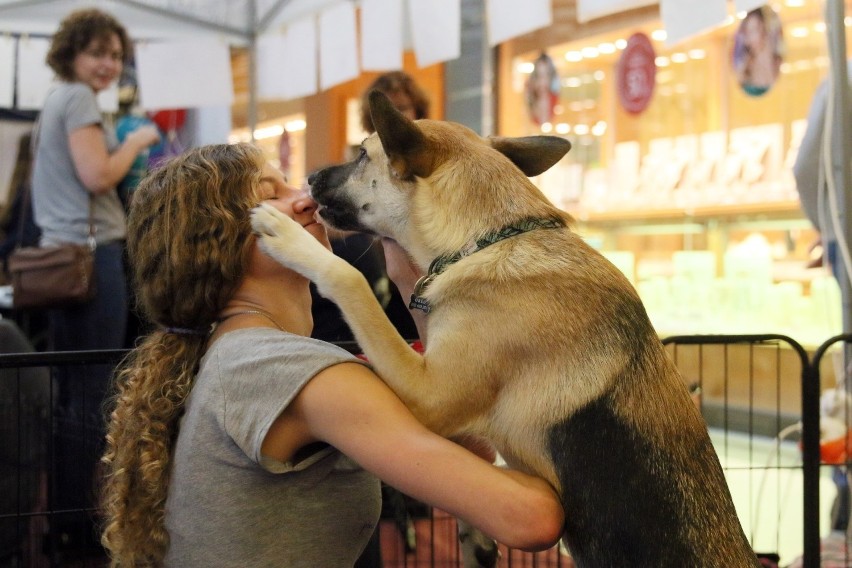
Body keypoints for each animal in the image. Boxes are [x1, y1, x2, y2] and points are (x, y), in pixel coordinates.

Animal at [250, 91, 764, 564]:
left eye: (360, 154)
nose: (308, 178)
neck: (489, 239)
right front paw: (474, 536)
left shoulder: (428, 395)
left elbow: (349, 279)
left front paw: (292, 240)